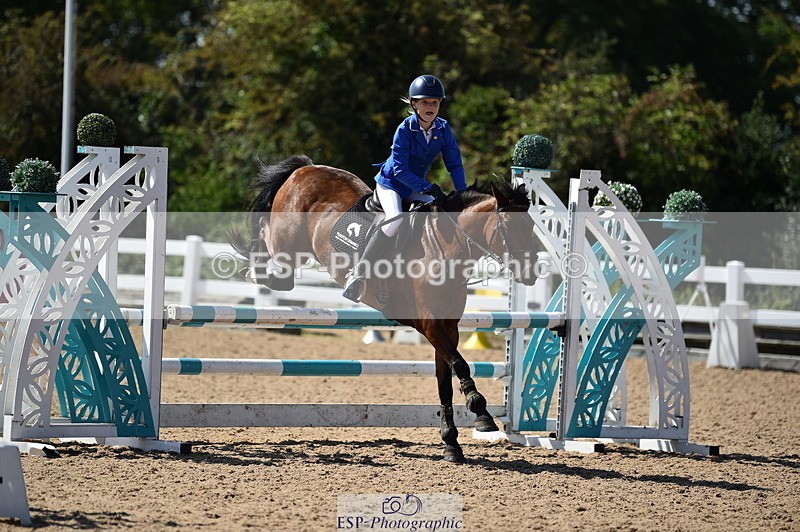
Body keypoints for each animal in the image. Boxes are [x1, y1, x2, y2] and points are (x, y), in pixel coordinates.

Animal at [231, 155, 538, 462]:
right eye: (510, 226)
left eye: (532, 227)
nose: (531, 274)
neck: (444, 246)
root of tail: (305, 168)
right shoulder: (429, 324)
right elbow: (460, 364)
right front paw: (480, 411)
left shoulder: (447, 328)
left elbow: (445, 379)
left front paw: (451, 442)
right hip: (287, 244)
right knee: (266, 240)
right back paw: (252, 266)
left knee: (281, 277)